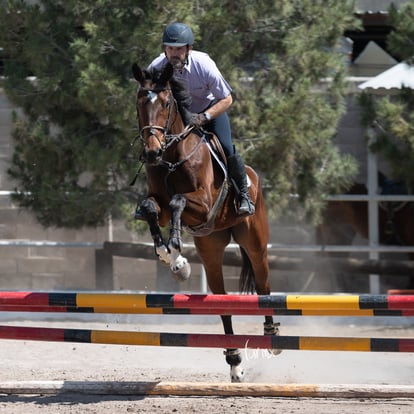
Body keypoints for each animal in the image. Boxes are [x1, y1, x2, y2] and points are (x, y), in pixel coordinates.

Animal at [132, 61, 282, 382]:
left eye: (166, 103)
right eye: (139, 103)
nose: (151, 152)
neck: (172, 155)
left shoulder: (203, 205)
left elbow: (178, 200)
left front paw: (176, 251)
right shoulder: (161, 206)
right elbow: (151, 207)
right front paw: (172, 258)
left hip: (255, 243)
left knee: (263, 286)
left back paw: (272, 337)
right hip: (211, 250)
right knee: (221, 301)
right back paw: (235, 363)